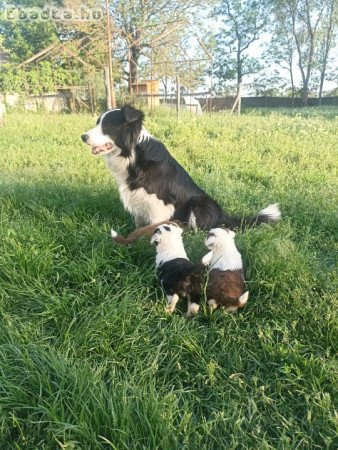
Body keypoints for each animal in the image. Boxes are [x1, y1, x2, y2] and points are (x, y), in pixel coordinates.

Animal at [81, 105, 280, 229]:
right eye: (97, 123)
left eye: (106, 126)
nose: (83, 137)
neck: (133, 155)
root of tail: (224, 216)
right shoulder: (138, 199)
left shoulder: (160, 204)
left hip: (199, 203)